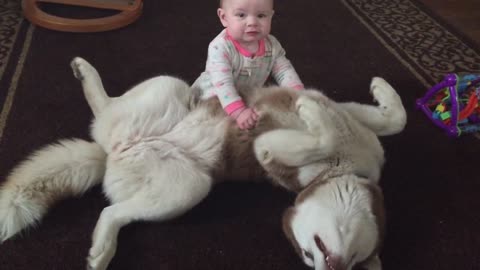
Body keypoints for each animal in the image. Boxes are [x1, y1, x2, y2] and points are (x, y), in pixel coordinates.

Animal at [0, 57, 404, 270]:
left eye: (353, 263)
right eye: (309, 253)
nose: (329, 266)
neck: (348, 170)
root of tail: (112, 152)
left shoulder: (272, 151)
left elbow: (326, 135)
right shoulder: (345, 116)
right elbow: (392, 120)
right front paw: (380, 90)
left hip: (187, 186)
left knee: (111, 211)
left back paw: (102, 248)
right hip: (169, 90)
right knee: (107, 107)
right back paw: (86, 73)